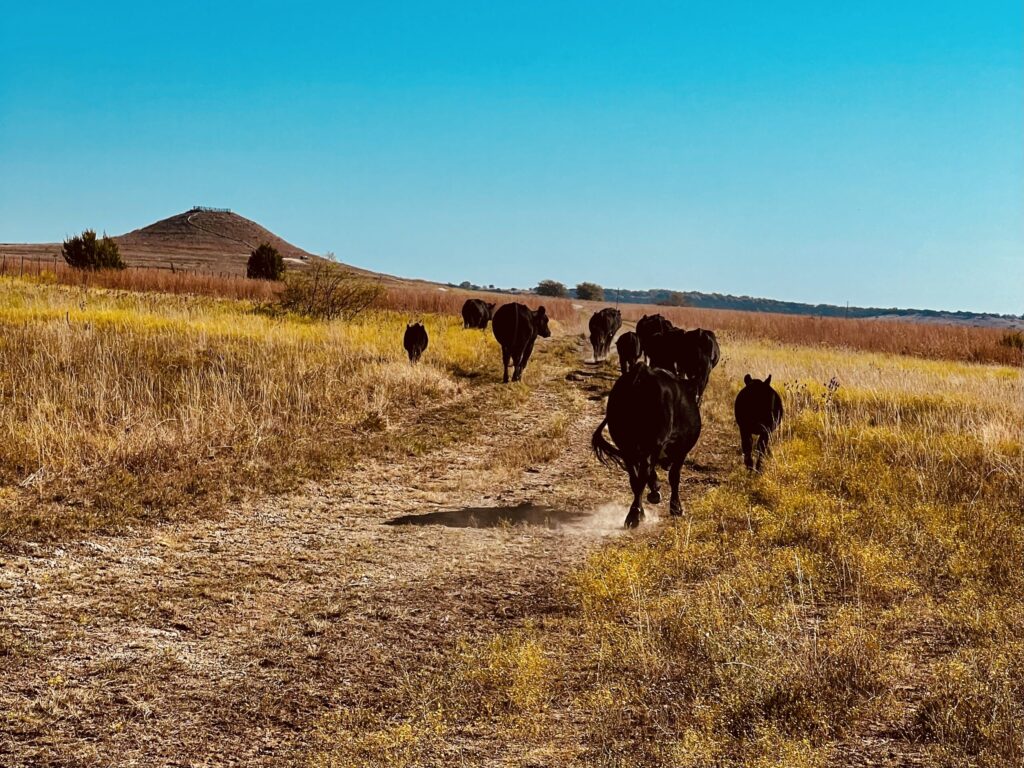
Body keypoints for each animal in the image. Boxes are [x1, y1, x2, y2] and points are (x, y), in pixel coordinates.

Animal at [592, 364, 702, 528]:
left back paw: (638, 511)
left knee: (636, 478)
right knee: (644, 473)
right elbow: (674, 476)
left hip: (626, 446)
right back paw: (635, 515)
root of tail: (643, 372)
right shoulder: (680, 451)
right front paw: (676, 507)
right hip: (652, 444)